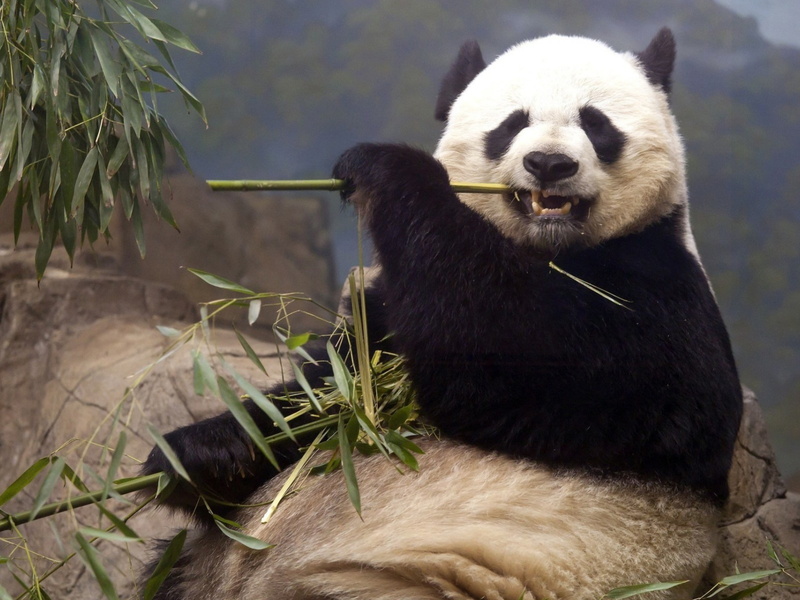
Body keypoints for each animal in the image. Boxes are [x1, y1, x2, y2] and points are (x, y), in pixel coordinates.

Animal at [142, 28, 743, 600]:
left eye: (596, 124)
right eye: (512, 123)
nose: (549, 164)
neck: (547, 248)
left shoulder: (660, 293)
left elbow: (521, 355)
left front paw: (386, 166)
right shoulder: (386, 323)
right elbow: (331, 396)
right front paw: (200, 454)